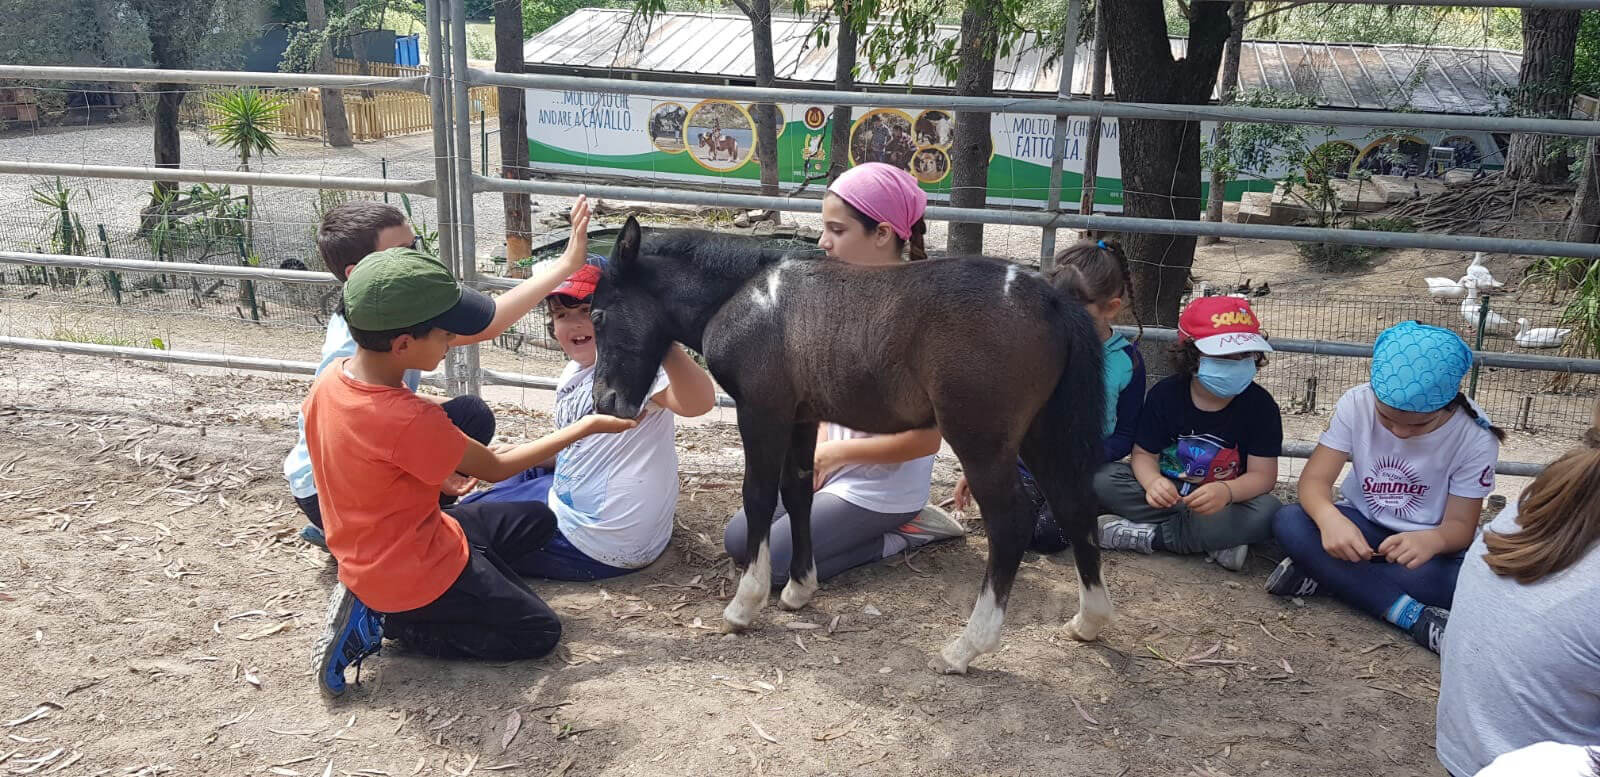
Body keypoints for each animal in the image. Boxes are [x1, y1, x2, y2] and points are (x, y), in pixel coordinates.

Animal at [592, 219, 1113, 674]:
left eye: (597, 313)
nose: (605, 401)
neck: (749, 296)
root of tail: (1051, 299)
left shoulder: (761, 410)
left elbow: (758, 496)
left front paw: (744, 605)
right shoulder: (802, 417)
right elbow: (797, 491)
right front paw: (799, 590)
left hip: (982, 440)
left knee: (1011, 522)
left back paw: (965, 648)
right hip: (1042, 434)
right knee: (1074, 504)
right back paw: (1088, 621)